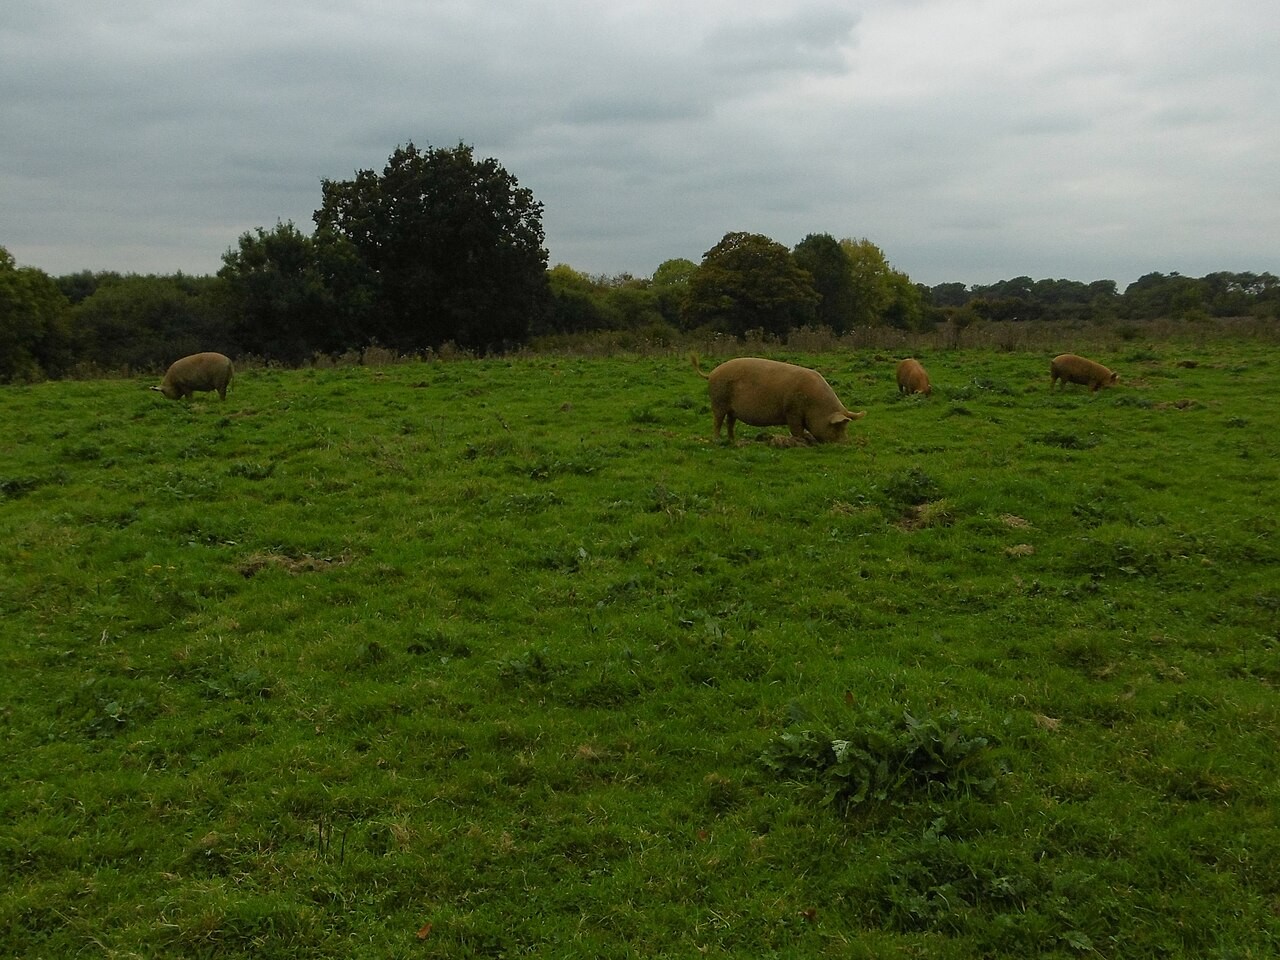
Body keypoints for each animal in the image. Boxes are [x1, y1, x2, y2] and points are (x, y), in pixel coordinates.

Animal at [691, 355, 866, 443]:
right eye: (838, 427)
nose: (845, 443)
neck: (814, 404)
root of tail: (712, 373)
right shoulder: (792, 411)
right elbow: (796, 429)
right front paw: (801, 441)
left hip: (731, 409)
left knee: (730, 422)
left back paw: (733, 440)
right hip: (718, 401)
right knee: (717, 421)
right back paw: (717, 440)